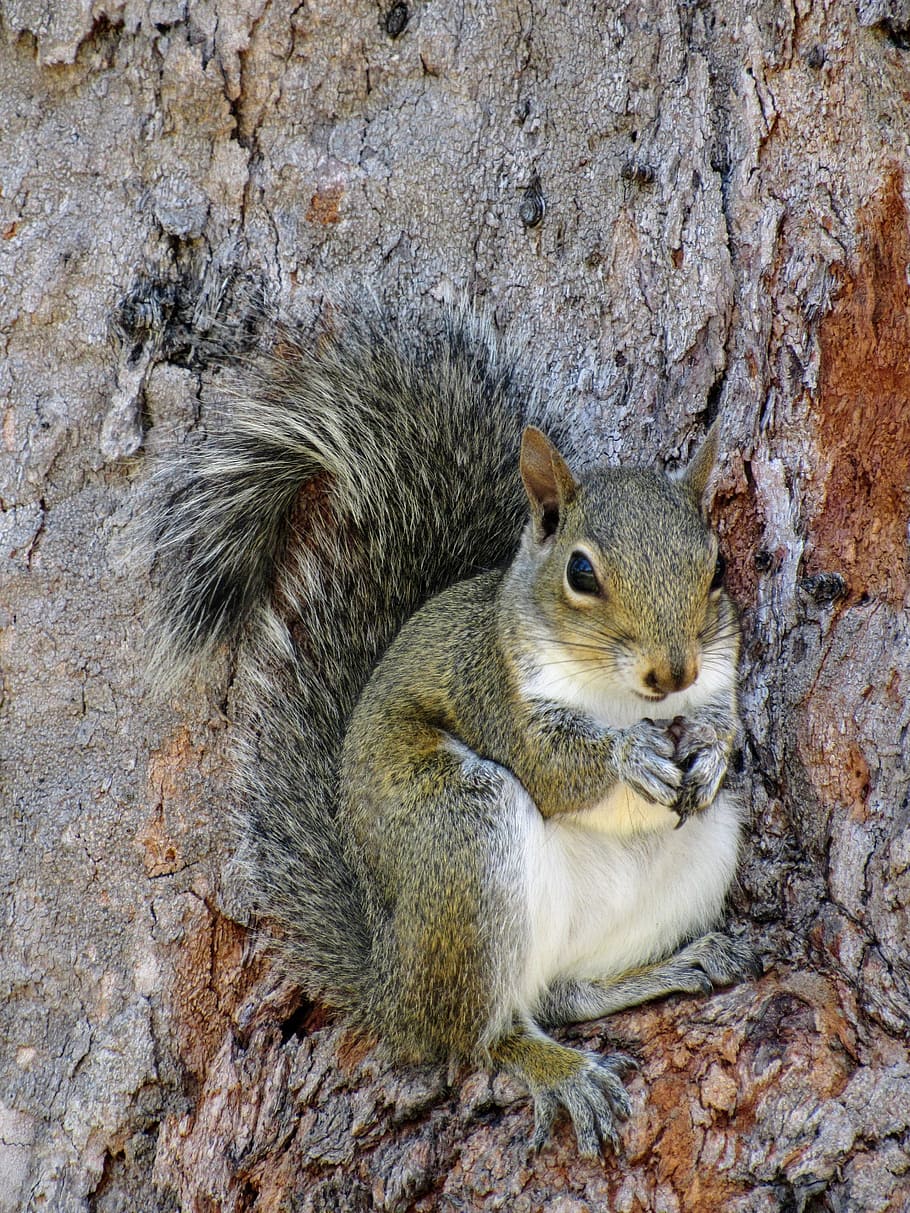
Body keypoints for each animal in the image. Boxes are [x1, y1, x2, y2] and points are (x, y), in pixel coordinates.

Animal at [148, 302, 759, 1157]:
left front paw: (708, 750)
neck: (620, 694)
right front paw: (629, 753)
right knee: (480, 1034)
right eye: (581, 572)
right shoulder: (495, 691)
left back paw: (674, 966)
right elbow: (557, 767)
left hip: (697, 854)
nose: (670, 673)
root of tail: (390, 986)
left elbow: (723, 719)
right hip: (462, 835)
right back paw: (555, 1067)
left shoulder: (718, 671)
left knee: (562, 993)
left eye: (716, 568)